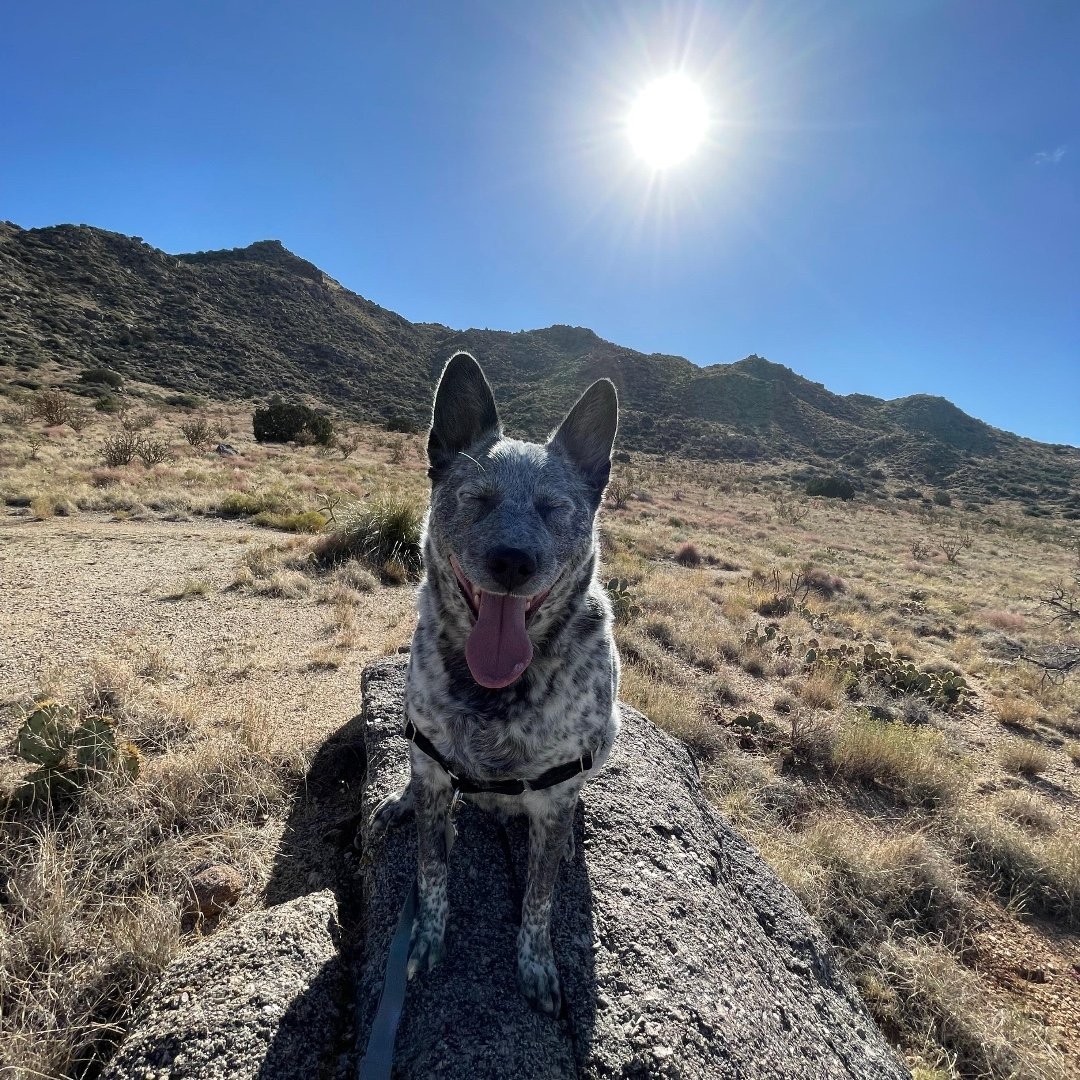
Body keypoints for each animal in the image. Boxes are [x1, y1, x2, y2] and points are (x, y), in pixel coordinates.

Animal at [371, 352, 622, 1010]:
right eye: (478, 498)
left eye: (553, 507)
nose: (512, 561)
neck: (494, 693)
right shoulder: (436, 770)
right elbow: (432, 870)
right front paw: (426, 938)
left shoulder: (554, 799)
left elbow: (538, 898)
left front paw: (535, 965)